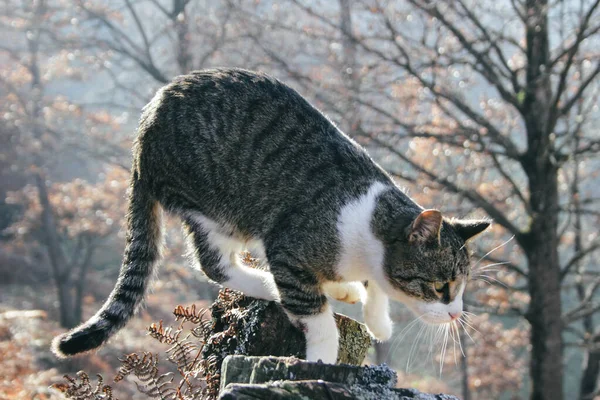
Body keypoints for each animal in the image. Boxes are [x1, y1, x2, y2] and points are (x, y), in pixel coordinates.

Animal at [51, 68, 490, 362]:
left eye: (459, 287)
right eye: (442, 287)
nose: (456, 313)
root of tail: (143, 132)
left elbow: (375, 290)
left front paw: (376, 317)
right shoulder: (287, 247)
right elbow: (316, 315)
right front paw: (322, 356)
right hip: (216, 207)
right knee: (215, 265)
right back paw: (271, 286)